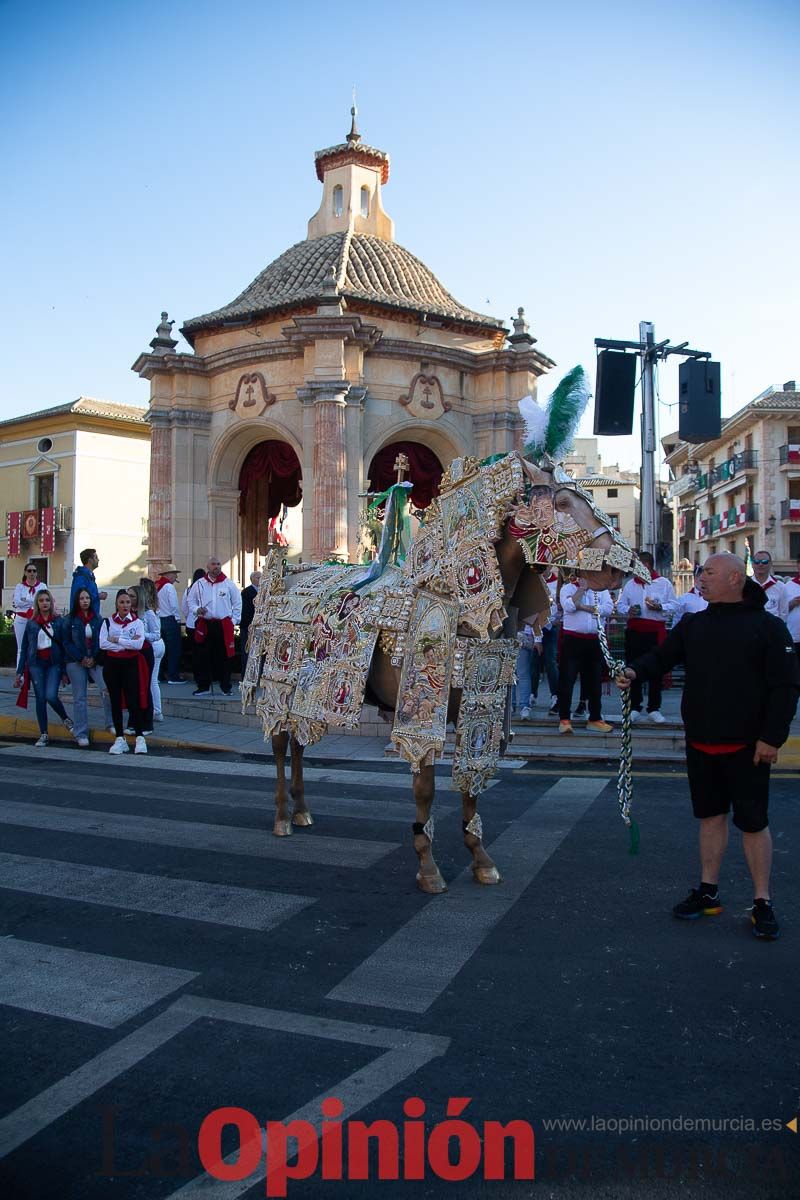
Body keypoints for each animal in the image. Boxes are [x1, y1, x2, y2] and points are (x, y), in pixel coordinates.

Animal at [241, 372, 647, 892]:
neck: (457, 598)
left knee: (296, 740)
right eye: (560, 500)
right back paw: (281, 817)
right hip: (279, 684)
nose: (622, 568)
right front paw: (428, 865)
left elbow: (473, 784)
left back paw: (303, 810)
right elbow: (427, 787)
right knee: (278, 741)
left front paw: (480, 857)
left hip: (302, 691)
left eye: (592, 497)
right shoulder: (421, 710)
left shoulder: (479, 706)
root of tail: (288, 575)